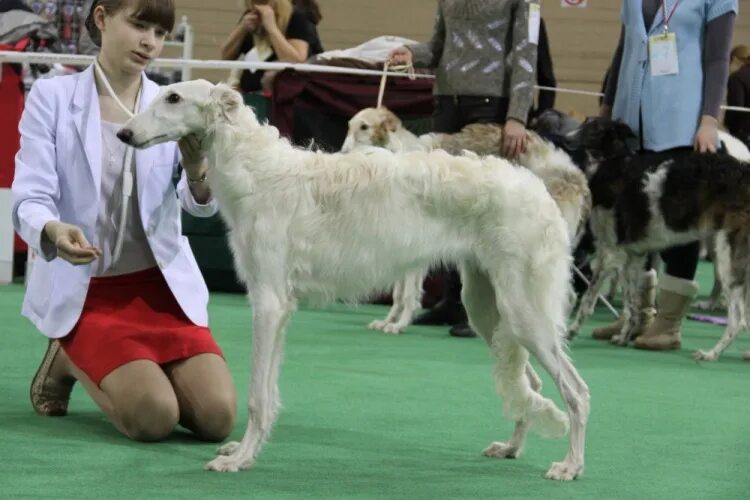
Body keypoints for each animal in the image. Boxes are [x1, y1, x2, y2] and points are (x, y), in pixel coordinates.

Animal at [342, 108, 592, 336]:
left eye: (364, 127)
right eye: (349, 126)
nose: (342, 153)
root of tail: (576, 175)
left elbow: (408, 293)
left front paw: (399, 324)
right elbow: (398, 293)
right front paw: (387, 321)